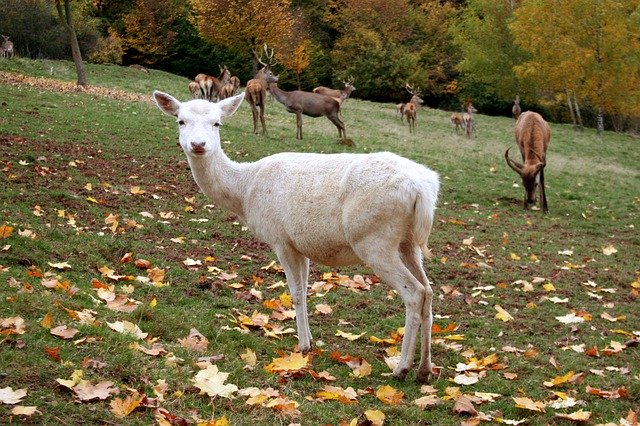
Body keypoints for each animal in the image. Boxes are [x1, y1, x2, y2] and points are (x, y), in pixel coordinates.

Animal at [152, 90, 440, 382]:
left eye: (217, 123)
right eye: (181, 121)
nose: (198, 144)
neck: (244, 191)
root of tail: (422, 190)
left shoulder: (280, 238)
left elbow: (296, 291)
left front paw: (302, 347)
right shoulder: (301, 243)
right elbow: (305, 289)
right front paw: (310, 340)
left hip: (374, 239)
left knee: (415, 292)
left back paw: (401, 368)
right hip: (408, 242)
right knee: (428, 291)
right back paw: (424, 369)